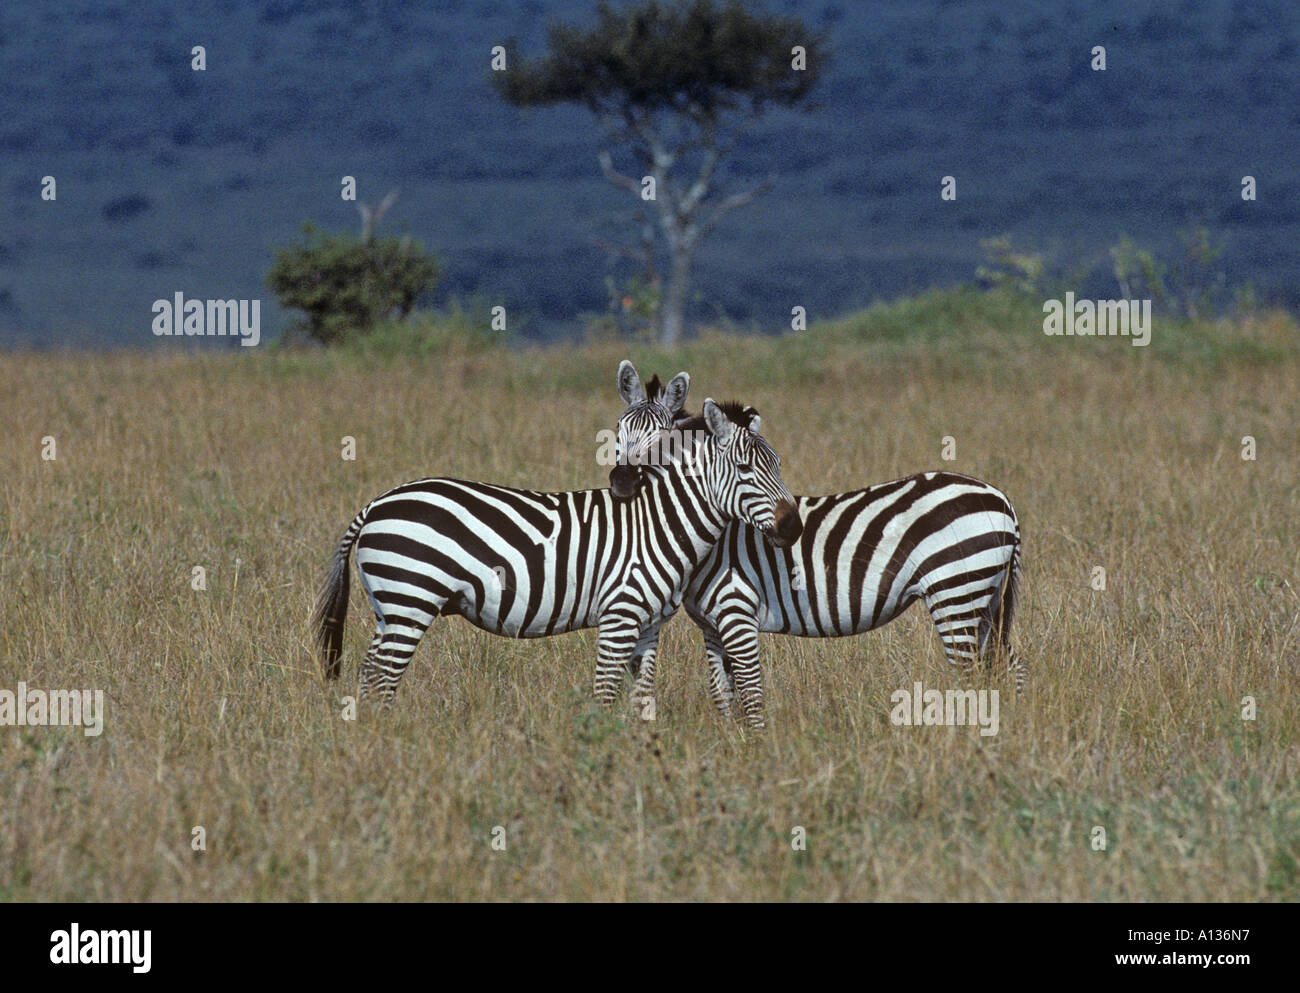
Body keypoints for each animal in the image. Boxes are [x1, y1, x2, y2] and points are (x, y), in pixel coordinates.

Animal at [312, 365, 803, 713]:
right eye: (745, 469)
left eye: (778, 465)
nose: (793, 528)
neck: (660, 520)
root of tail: (377, 503)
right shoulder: (619, 616)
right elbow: (604, 695)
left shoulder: (649, 625)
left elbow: (642, 699)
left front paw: (641, 755)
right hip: (409, 600)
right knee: (381, 679)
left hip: (390, 606)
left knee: (369, 674)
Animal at [610, 369, 1023, 730]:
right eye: (618, 431)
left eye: (662, 439)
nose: (623, 481)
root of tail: (1000, 497)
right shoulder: (712, 626)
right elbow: (723, 695)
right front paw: (732, 741)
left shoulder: (737, 612)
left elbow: (748, 692)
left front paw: (753, 748)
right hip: (984, 601)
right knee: (1010, 665)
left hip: (956, 592)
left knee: (970, 675)